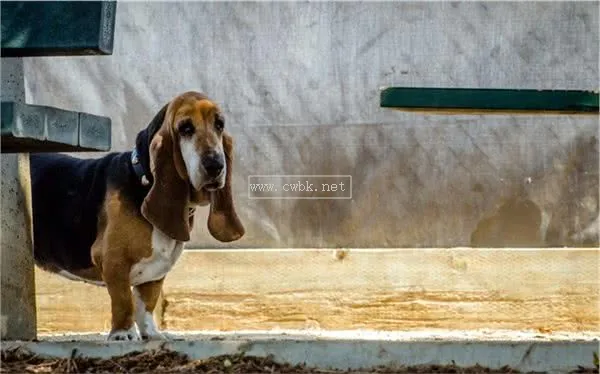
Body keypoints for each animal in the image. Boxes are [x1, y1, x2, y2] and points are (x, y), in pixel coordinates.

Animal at [29, 90, 245, 338]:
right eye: (185, 128)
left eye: (219, 125)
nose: (215, 165)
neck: (142, 180)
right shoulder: (113, 261)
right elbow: (124, 301)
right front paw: (122, 334)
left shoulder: (155, 274)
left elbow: (145, 305)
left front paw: (151, 334)